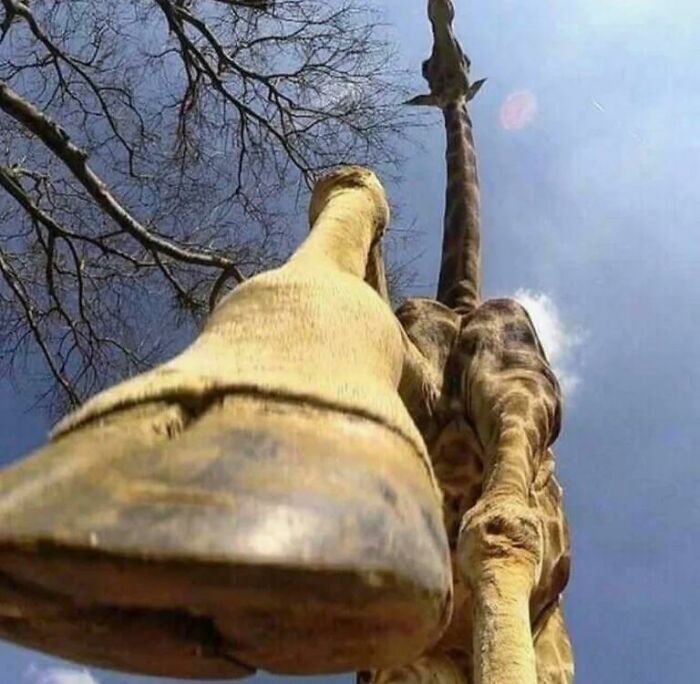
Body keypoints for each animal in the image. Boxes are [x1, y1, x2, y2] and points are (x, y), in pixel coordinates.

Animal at [362, 1, 574, 682]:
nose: (441, 13)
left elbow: (502, 524)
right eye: (430, 67)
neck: (456, 307)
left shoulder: (520, 387)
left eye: (461, 60)